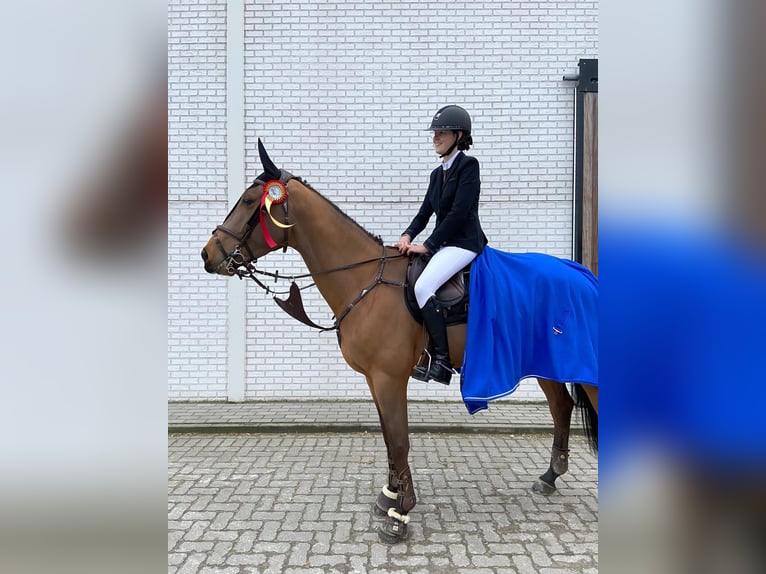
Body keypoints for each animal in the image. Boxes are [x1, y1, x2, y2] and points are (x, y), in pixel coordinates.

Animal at [201, 140, 598, 544]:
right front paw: (389, 496)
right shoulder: (374, 380)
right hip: (548, 363)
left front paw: (400, 515)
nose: (208, 254)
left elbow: (400, 439)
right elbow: (389, 441)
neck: (365, 279)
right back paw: (549, 477)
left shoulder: (390, 378)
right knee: (561, 407)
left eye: (249, 201)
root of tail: (584, 276)